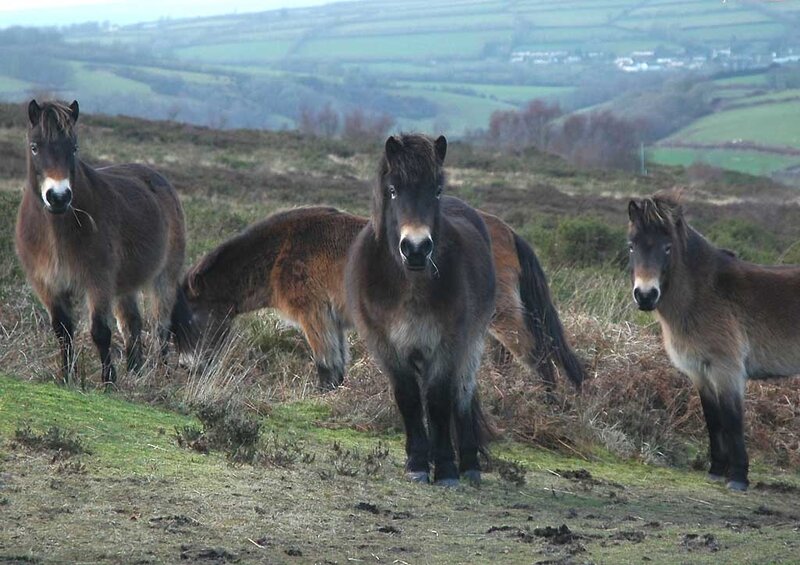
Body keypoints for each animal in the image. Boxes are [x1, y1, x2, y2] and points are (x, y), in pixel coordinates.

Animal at [15, 100, 189, 386]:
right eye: (34, 146)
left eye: (74, 147)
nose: (58, 197)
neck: (57, 232)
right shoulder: (48, 285)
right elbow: (63, 331)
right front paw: (67, 377)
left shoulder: (98, 281)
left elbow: (100, 331)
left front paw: (108, 382)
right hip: (126, 284)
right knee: (132, 323)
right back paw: (135, 371)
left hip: (165, 275)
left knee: (161, 326)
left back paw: (160, 374)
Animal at [177, 204, 584, 392]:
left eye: (190, 319)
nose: (184, 369)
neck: (283, 250)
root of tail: (506, 230)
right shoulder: (332, 320)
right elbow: (337, 367)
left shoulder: (314, 316)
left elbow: (326, 366)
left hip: (501, 315)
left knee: (537, 353)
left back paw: (550, 401)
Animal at [344, 133, 497, 486]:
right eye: (393, 190)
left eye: (436, 190)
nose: (415, 248)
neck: (409, 285)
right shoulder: (386, 346)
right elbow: (409, 398)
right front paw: (416, 462)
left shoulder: (447, 345)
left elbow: (439, 400)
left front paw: (445, 468)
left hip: (472, 345)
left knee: (462, 395)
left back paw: (469, 464)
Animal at [628, 192, 800, 491]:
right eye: (632, 246)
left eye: (667, 248)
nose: (646, 295)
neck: (705, 293)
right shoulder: (700, 372)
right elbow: (713, 419)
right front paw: (716, 471)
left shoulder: (726, 370)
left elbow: (732, 420)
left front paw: (739, 478)